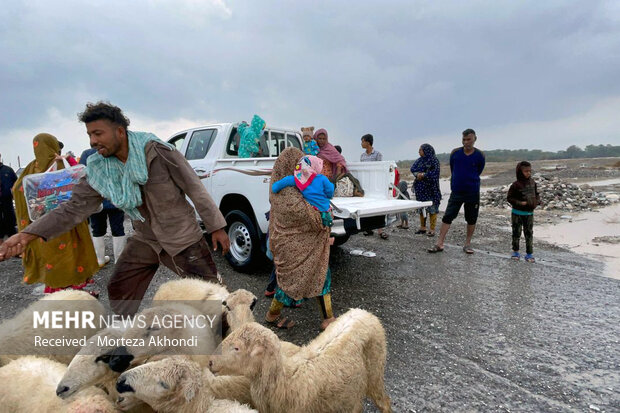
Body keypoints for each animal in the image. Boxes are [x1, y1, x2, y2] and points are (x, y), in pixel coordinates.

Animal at [211, 308, 390, 410]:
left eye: (237, 348)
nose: (210, 361)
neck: (286, 380)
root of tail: (363, 312)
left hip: (375, 372)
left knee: (385, 402)